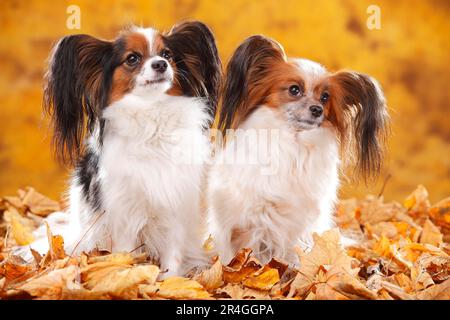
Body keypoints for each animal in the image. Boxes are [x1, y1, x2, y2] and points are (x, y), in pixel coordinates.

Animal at [25, 21, 221, 276]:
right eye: (132, 58)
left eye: (167, 54)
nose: (161, 64)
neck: (151, 115)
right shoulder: (124, 211)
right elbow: (125, 252)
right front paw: (127, 276)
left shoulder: (174, 203)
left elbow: (173, 253)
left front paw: (170, 280)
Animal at [207, 35, 386, 264]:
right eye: (294, 90)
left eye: (325, 97)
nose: (317, 110)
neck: (294, 143)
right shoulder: (249, 213)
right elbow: (239, 245)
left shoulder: (301, 218)